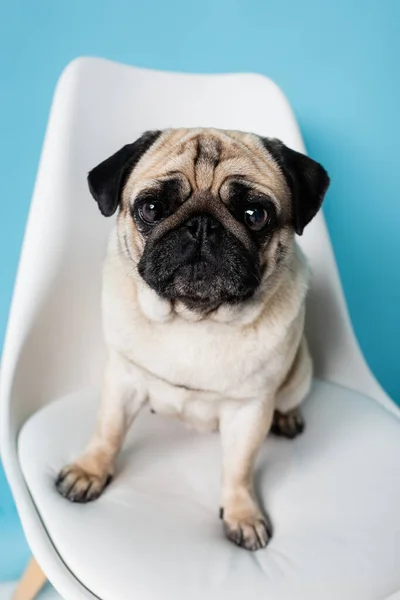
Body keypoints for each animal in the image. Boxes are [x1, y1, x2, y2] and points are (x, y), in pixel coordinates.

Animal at [54, 129, 328, 552]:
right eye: (151, 208)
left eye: (255, 215)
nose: (201, 226)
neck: (194, 318)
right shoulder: (123, 379)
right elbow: (108, 431)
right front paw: (90, 471)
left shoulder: (250, 409)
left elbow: (239, 468)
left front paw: (242, 514)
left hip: (300, 371)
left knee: (288, 398)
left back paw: (286, 417)